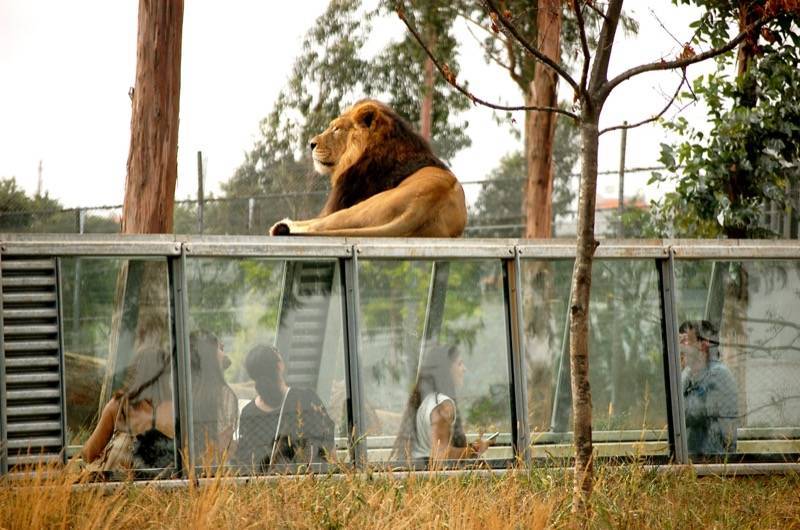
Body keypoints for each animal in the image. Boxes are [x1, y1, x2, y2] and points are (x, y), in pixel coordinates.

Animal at [270, 98, 468, 237]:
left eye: (336, 129)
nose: (311, 144)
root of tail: (425, 206)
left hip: (358, 209)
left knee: (317, 226)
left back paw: (281, 225)